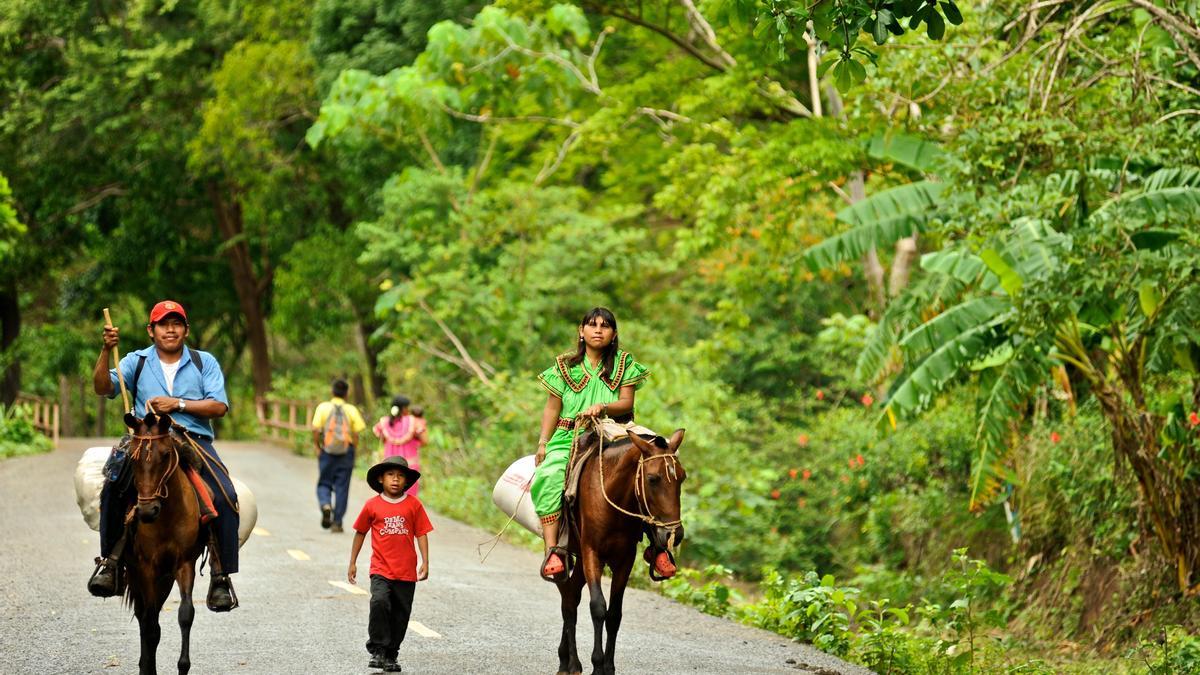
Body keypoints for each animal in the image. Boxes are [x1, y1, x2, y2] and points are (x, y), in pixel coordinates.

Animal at [120, 410, 205, 672]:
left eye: (166, 454)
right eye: (132, 458)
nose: (147, 511)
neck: (167, 517)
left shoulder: (184, 564)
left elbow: (185, 614)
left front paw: (183, 665)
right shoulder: (146, 567)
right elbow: (150, 625)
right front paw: (148, 667)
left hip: (165, 577)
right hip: (138, 571)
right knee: (144, 616)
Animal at [552, 425, 686, 672]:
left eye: (682, 477)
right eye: (652, 479)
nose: (675, 534)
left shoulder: (626, 558)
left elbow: (614, 614)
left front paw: (608, 667)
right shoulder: (591, 552)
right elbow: (598, 607)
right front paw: (597, 665)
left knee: (570, 596)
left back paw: (566, 659)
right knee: (569, 600)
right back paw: (572, 664)